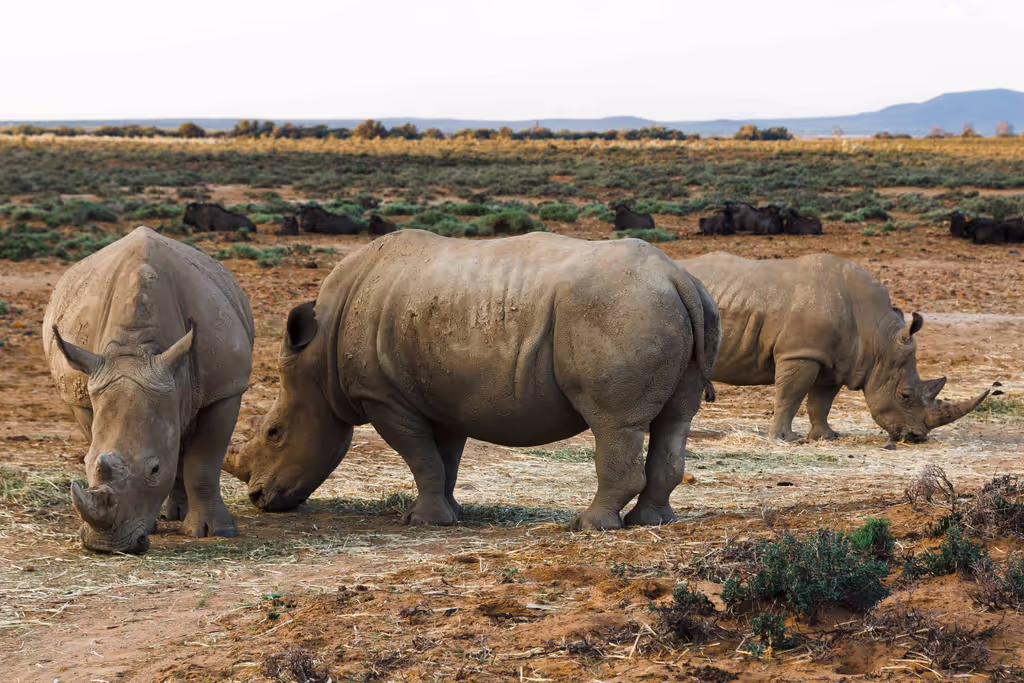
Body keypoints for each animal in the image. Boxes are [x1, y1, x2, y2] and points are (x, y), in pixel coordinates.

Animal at [43, 226, 254, 553]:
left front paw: (215, 531)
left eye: (154, 470)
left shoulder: (226, 389)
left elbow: (204, 461)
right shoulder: (84, 391)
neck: (136, 347)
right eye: (86, 464)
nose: (106, 546)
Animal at [228, 229, 719, 530]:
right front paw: (449, 513)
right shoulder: (439, 396)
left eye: (274, 433)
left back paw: (588, 526)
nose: (257, 498)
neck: (318, 355)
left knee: (614, 423)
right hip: (672, 305)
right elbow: (442, 459)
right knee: (675, 420)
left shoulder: (382, 396)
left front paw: (421, 522)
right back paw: (652, 523)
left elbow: (419, 456)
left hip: (621, 308)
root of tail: (677, 277)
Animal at [680, 252, 994, 442]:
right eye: (904, 396)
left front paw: (826, 437)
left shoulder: (834, 360)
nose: (916, 438)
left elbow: (821, 401)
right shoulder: (802, 353)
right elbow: (790, 395)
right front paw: (785, 439)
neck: (877, 336)